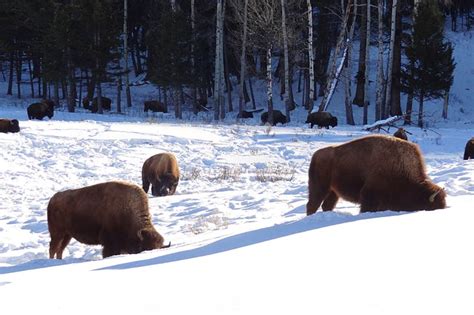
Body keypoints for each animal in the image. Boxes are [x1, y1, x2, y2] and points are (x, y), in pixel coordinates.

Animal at [306, 135, 446, 216]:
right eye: (432, 207)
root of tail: (315, 155)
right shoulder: (369, 195)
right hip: (319, 188)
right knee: (312, 205)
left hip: (334, 192)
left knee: (327, 205)